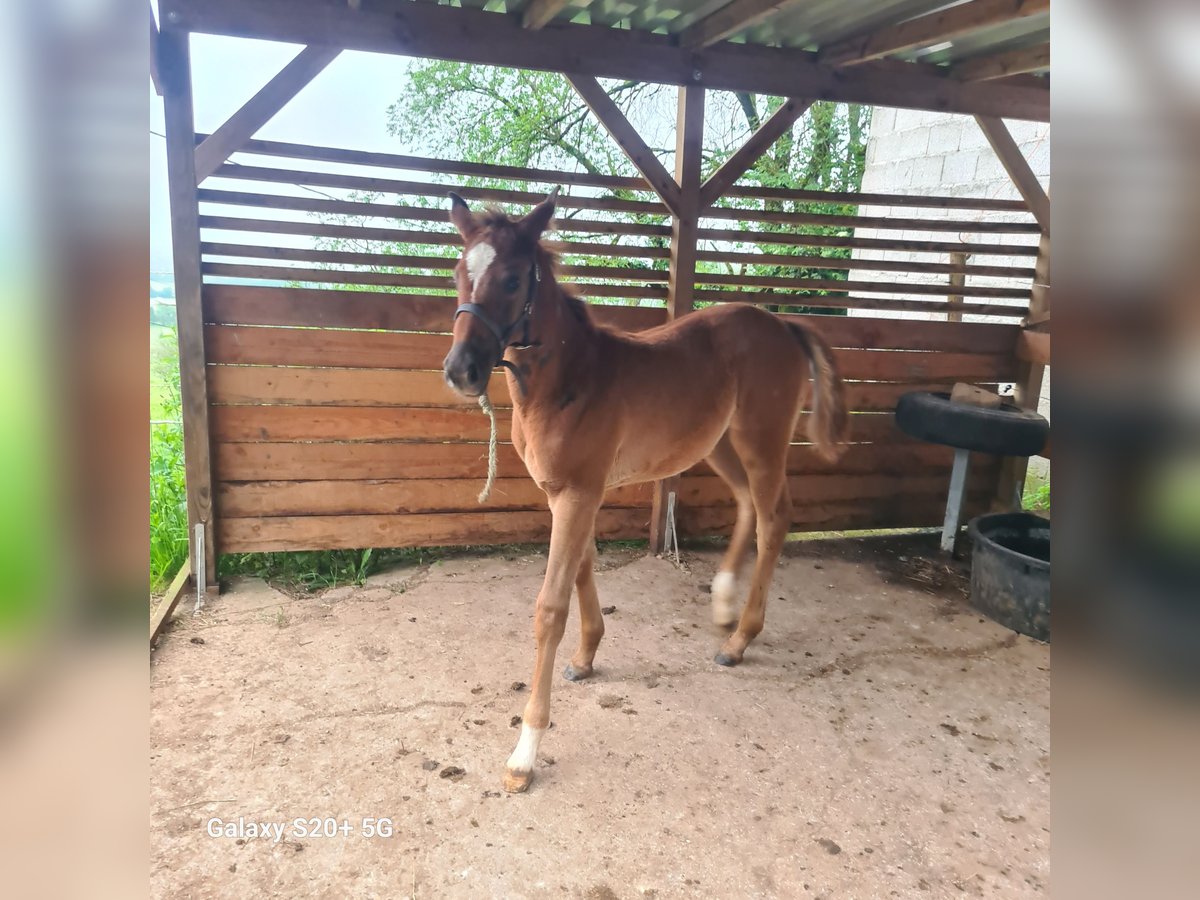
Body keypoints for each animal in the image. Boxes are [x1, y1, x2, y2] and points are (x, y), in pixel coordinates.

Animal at [439, 194, 844, 792]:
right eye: (459, 274)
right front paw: (585, 657)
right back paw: (723, 606)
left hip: (761, 441)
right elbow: (584, 567)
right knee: (748, 505)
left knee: (775, 518)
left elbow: (550, 607)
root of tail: (782, 323)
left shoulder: (579, 493)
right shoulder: (569, 493)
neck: (569, 380)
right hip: (719, 443)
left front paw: (524, 753)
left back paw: (739, 639)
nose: (460, 370)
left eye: (512, 279)